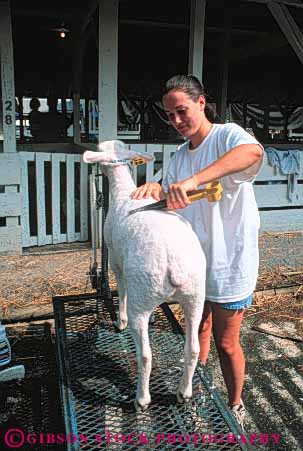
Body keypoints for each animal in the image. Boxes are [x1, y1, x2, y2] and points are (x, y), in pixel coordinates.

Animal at [83, 141, 207, 414]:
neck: (124, 192)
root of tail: (175, 263)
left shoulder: (117, 261)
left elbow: (120, 290)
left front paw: (119, 321)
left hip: (142, 295)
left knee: (146, 355)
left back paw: (142, 399)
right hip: (195, 296)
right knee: (193, 348)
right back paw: (184, 393)